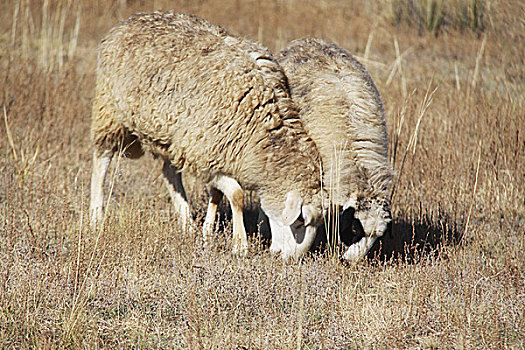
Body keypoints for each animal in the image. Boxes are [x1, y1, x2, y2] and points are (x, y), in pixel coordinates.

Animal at [89, 11, 324, 258]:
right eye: (300, 221)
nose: (288, 259)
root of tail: (130, 20)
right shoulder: (203, 154)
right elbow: (237, 195)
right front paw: (240, 245)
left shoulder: (216, 152)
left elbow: (217, 194)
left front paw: (206, 233)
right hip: (109, 110)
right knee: (101, 160)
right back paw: (96, 216)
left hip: (171, 135)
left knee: (169, 172)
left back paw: (186, 222)